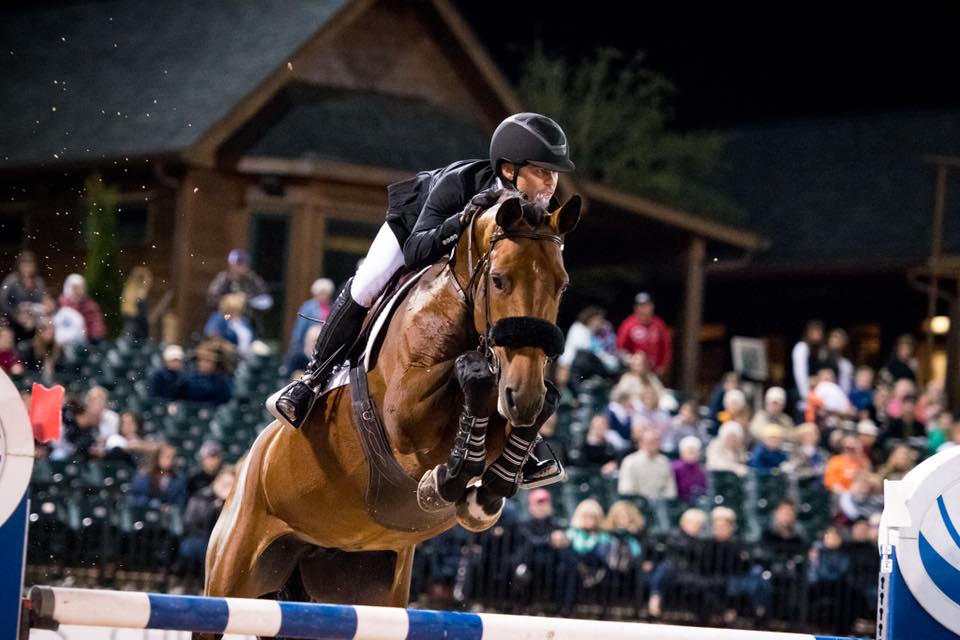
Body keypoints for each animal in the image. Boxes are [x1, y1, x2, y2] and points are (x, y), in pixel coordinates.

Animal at [201, 193, 581, 630]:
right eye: (499, 279)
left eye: (562, 285)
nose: (523, 395)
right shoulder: (407, 424)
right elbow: (474, 386)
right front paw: (447, 481)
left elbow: (532, 410)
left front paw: (486, 494)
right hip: (233, 573)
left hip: (363, 591)